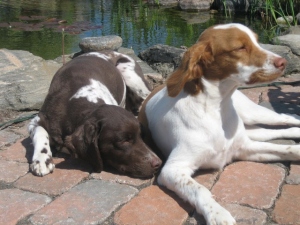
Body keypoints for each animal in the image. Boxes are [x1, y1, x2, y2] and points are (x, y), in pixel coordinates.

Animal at [139, 23, 300, 225]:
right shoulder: (172, 169)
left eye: (257, 41)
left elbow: (286, 149)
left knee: (286, 117)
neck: (216, 109)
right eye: (240, 47)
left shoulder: (244, 147)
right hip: (251, 128)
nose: (283, 62)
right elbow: (199, 189)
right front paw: (218, 214)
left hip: (253, 114)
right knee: (274, 130)